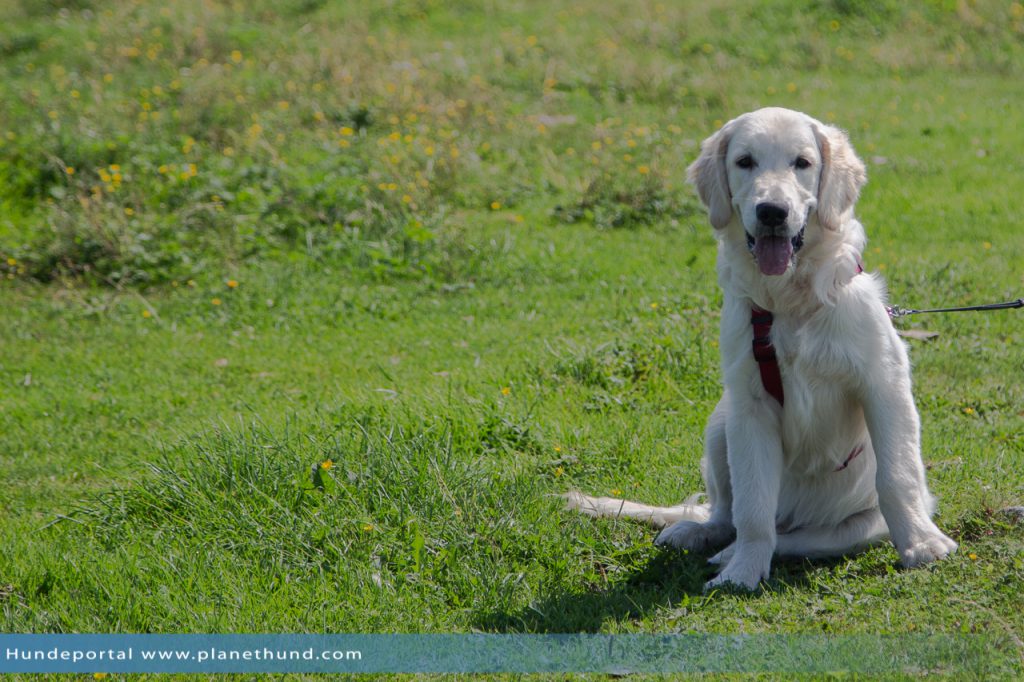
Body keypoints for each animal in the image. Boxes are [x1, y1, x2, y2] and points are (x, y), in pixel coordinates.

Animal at [565, 107, 954, 589]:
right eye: (745, 162)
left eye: (802, 163)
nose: (772, 212)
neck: (789, 302)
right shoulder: (749, 405)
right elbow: (752, 506)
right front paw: (743, 572)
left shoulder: (883, 383)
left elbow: (898, 475)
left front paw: (922, 544)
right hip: (721, 421)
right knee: (727, 514)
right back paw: (702, 535)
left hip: (850, 527)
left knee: (802, 539)